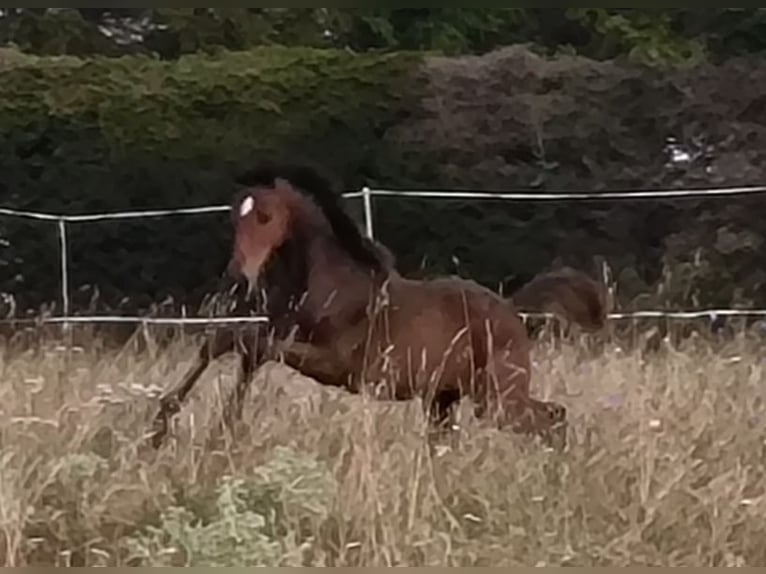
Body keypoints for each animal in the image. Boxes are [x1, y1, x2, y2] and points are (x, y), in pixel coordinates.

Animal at [148, 162, 608, 450]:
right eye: (234, 216)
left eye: (265, 217)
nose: (237, 275)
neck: (330, 286)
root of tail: (513, 311)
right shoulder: (278, 329)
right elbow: (227, 342)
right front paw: (164, 424)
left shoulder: (334, 365)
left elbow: (250, 345)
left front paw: (215, 427)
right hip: (445, 400)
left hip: (497, 397)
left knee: (554, 419)